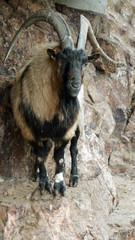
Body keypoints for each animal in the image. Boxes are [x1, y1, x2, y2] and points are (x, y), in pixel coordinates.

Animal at [3, 9, 124, 197]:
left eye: (85, 63)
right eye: (61, 59)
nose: (75, 86)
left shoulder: (66, 132)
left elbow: (59, 157)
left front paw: (59, 186)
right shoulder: (29, 131)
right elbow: (40, 155)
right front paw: (44, 183)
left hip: (79, 123)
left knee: (74, 149)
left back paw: (74, 178)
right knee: (45, 150)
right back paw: (37, 174)